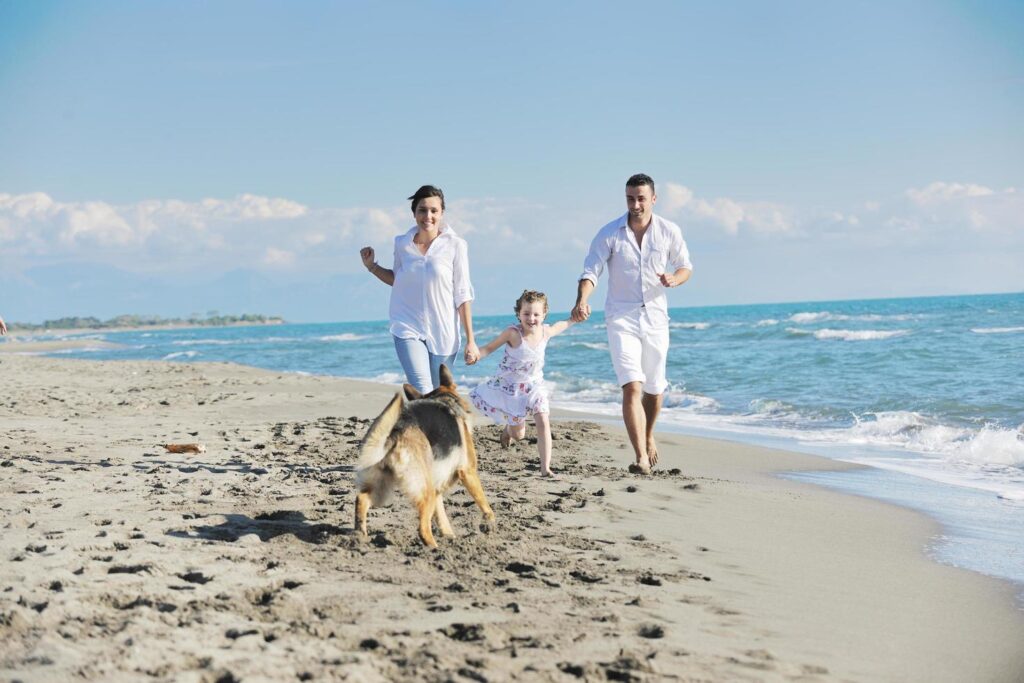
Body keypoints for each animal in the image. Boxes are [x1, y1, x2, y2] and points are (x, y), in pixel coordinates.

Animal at [354, 366, 493, 548]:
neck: (444, 400)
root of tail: (395, 431)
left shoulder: (437, 487)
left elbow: (442, 517)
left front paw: (449, 535)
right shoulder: (469, 472)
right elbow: (483, 502)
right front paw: (490, 523)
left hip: (382, 489)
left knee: (361, 499)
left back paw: (360, 535)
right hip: (425, 492)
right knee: (423, 528)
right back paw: (434, 548)